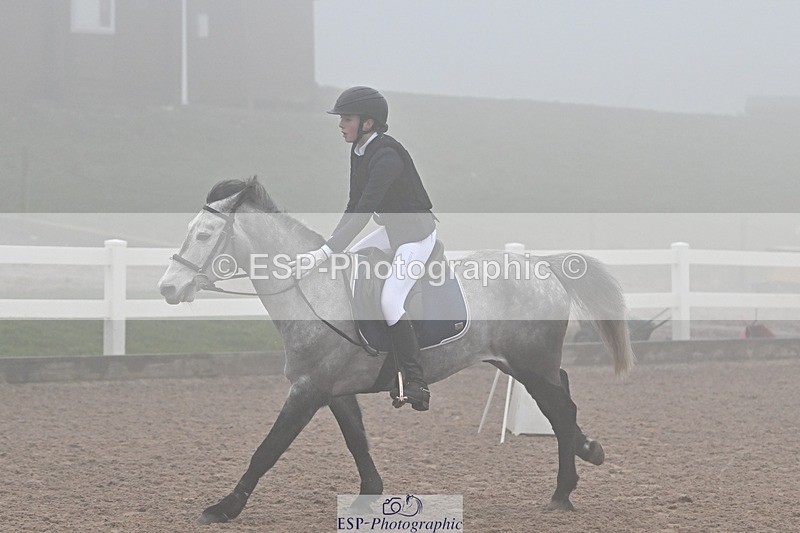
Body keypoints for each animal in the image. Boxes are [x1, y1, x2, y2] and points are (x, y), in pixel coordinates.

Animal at [157, 177, 634, 524]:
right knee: (564, 403)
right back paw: (586, 452)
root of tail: (543, 265)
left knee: (561, 412)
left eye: (204, 234)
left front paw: (224, 507)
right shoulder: (333, 391)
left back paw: (563, 491)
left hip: (532, 365)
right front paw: (369, 495)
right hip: (519, 364)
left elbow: (267, 449)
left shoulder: (308, 390)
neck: (315, 290)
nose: (168, 289)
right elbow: (357, 441)